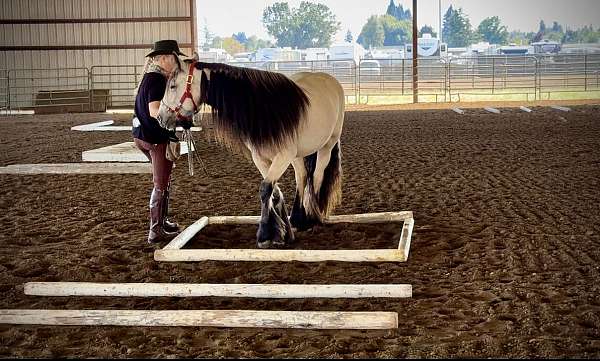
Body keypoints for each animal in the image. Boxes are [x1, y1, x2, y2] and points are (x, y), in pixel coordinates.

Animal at [157, 57, 344, 248]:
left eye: (172, 86)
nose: (160, 117)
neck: (266, 111)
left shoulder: (283, 157)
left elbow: (266, 188)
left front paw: (265, 235)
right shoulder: (260, 158)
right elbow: (274, 191)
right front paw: (282, 232)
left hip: (327, 146)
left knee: (317, 176)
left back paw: (313, 217)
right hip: (297, 155)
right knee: (302, 176)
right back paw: (298, 219)